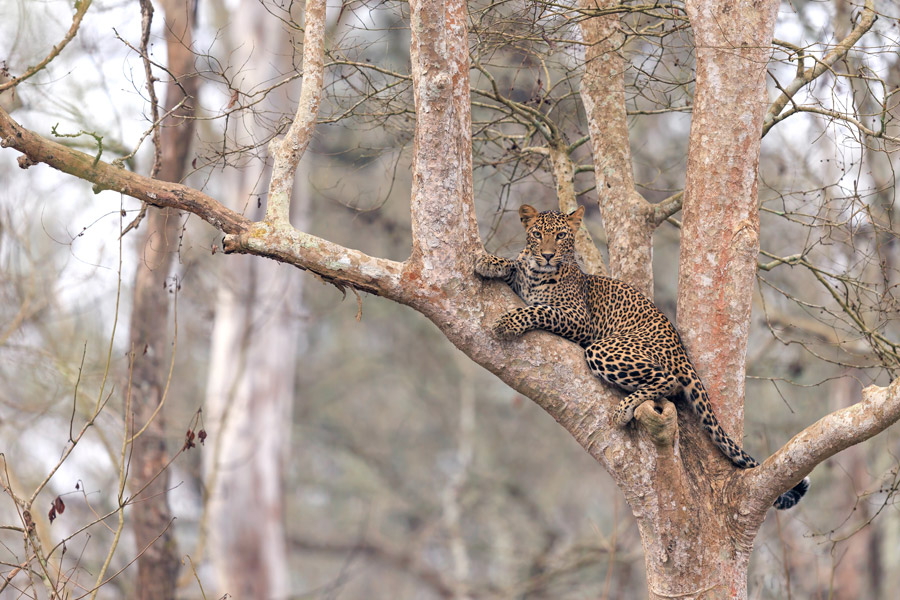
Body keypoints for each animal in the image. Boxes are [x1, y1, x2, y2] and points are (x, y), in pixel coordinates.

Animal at [475, 204, 809, 510]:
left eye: (561, 236)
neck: (537, 275)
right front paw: (489, 262)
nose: (546, 255)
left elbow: (539, 309)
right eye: (537, 234)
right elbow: (514, 265)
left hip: (608, 348)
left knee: (669, 382)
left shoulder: (578, 318)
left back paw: (624, 408)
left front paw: (508, 322)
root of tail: (680, 350)